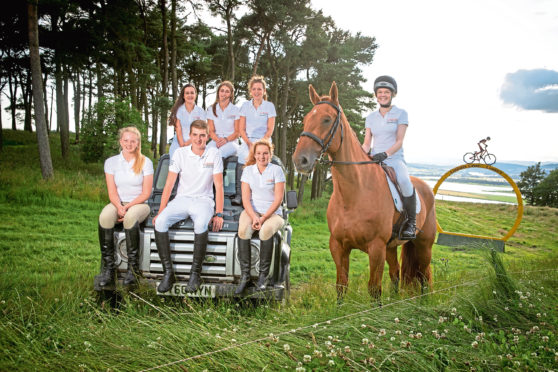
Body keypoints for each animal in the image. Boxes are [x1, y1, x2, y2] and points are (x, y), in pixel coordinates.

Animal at [294, 82, 438, 300]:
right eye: (305, 119)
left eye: (327, 119)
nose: (300, 160)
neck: (354, 195)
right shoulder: (338, 246)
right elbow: (341, 287)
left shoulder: (376, 247)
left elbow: (374, 290)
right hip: (391, 247)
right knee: (396, 273)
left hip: (423, 245)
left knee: (424, 275)